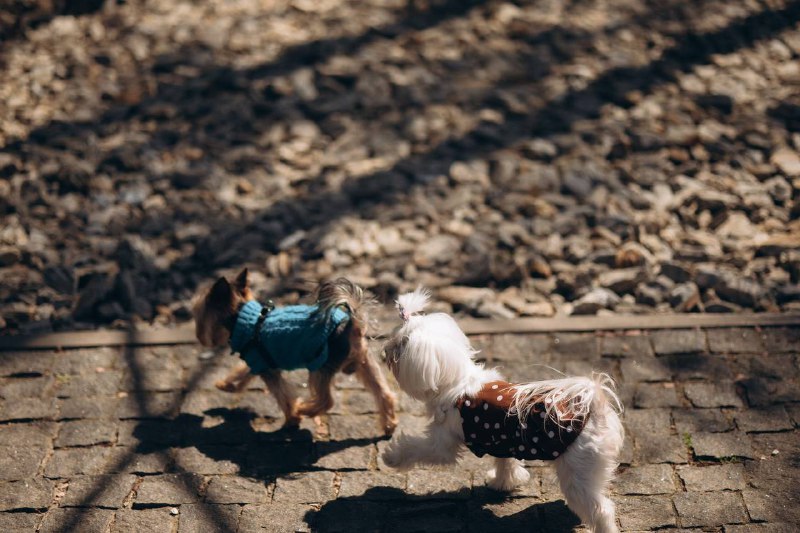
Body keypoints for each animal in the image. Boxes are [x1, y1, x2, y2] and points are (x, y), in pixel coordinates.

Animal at [191, 268, 396, 434]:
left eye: (198, 316)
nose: (199, 336)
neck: (247, 320)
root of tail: (352, 324)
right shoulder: (258, 361)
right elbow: (243, 373)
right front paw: (226, 385)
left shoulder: (266, 368)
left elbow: (283, 396)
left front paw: (292, 418)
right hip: (364, 362)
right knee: (384, 393)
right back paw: (389, 425)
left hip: (320, 366)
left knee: (327, 400)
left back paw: (305, 409)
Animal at [382, 290, 624, 532]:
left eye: (401, 343)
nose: (385, 350)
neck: (458, 381)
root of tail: (595, 407)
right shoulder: (502, 439)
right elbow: (506, 462)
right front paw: (502, 482)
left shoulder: (443, 443)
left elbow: (417, 448)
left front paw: (391, 457)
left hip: (578, 471)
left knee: (601, 509)